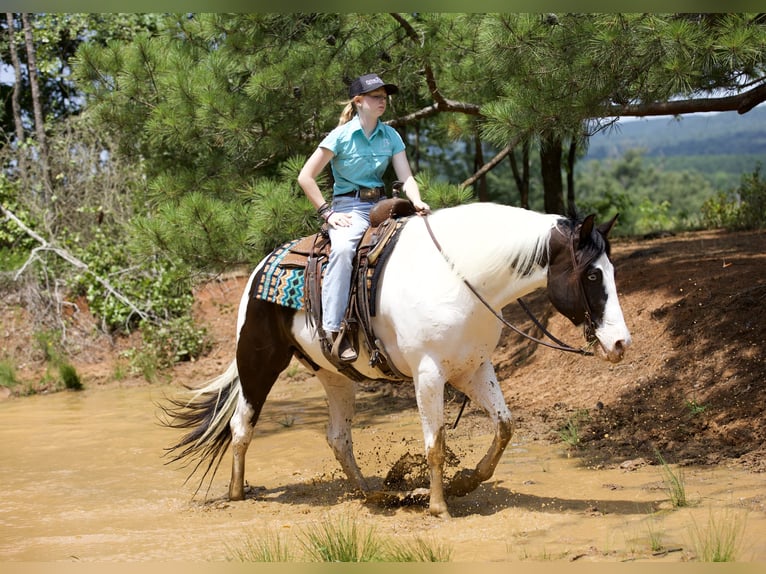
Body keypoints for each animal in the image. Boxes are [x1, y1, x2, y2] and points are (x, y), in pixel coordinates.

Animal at [162, 204, 632, 520]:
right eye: (593, 274)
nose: (621, 343)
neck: (464, 275)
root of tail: (260, 269)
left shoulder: (473, 368)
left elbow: (504, 427)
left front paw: (466, 482)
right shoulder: (429, 373)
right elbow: (435, 443)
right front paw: (439, 506)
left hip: (334, 376)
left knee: (338, 437)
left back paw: (373, 495)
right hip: (258, 361)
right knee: (242, 425)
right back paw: (237, 494)